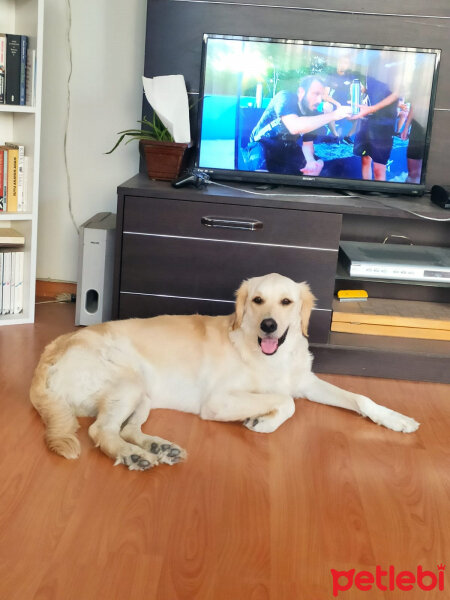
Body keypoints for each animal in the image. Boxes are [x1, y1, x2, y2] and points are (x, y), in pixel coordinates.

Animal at [29, 274, 420, 472]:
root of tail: (51, 348)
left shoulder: (304, 382)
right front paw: (263, 421)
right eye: (258, 300)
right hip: (129, 381)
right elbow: (286, 402)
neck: (271, 355)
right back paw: (133, 456)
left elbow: (360, 397)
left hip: (143, 393)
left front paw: (396, 418)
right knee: (102, 430)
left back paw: (157, 447)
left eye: (287, 302)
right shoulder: (217, 402)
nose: (268, 325)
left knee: (126, 428)